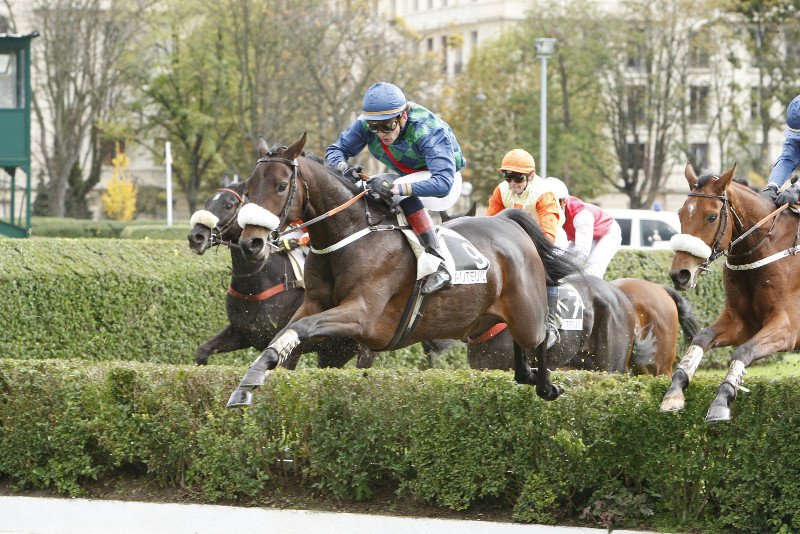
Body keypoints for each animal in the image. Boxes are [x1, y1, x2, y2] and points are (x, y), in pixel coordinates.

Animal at [186, 177, 376, 369]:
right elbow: (202, 351)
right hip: (334, 353)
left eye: (228, 205)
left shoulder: (291, 348)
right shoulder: (241, 333)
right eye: (208, 202)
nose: (196, 237)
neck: (258, 283)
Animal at [226, 133, 581, 407]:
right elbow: (285, 333)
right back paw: (528, 376)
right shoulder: (314, 303)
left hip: (526, 310)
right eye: (247, 189)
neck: (351, 234)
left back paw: (546, 384)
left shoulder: (363, 315)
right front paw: (248, 383)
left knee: (541, 335)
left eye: (281, 185)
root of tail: (508, 222)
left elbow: (303, 328)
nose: (252, 243)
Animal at [661, 163, 800, 422]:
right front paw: (674, 391)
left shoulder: (788, 328)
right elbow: (702, 338)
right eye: (680, 214)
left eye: (712, 216)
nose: (680, 274)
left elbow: (744, 351)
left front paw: (721, 399)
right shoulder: (741, 322)